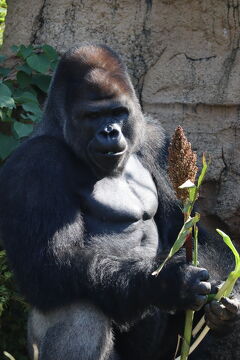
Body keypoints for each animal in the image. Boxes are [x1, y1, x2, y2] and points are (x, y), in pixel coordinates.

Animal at [0, 45, 240, 360]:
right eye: (93, 115)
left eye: (117, 112)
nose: (110, 131)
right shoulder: (34, 165)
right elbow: (47, 263)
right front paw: (168, 284)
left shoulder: (156, 140)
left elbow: (193, 230)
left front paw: (223, 297)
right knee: (77, 303)